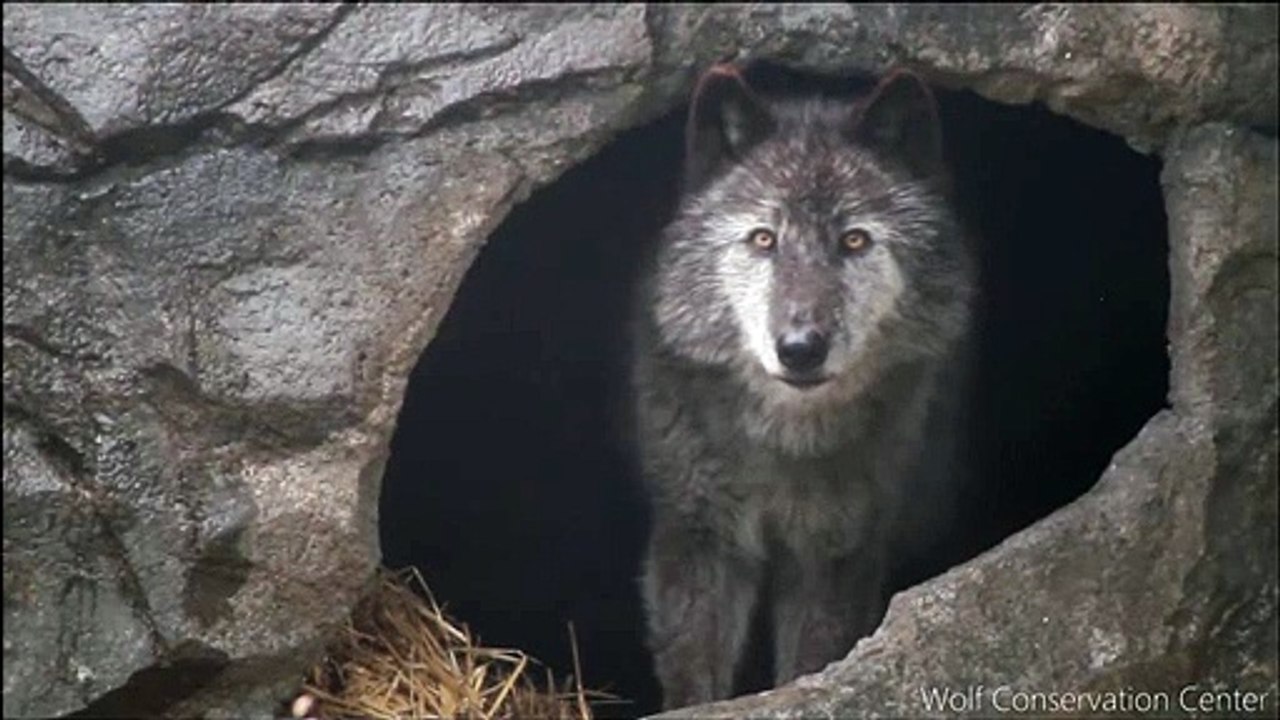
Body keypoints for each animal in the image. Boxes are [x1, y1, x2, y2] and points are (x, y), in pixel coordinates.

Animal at [628, 64, 976, 710]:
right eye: (764, 239)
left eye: (854, 240)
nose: (800, 348)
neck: (783, 445)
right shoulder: (699, 535)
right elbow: (694, 673)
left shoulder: (835, 551)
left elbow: (813, 663)